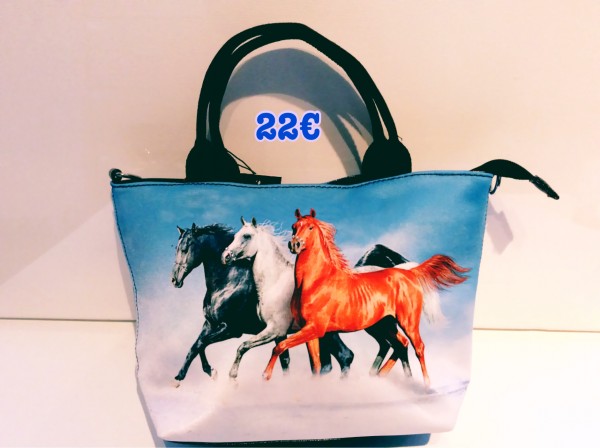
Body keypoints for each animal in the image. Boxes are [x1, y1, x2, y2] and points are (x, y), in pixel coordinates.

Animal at [171, 223, 354, 382]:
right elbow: (196, 346)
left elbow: (201, 344)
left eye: (185, 249)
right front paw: (192, 374)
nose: (174, 280)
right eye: (176, 248)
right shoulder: (210, 324)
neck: (228, 281)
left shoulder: (230, 329)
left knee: (344, 356)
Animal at [221, 218, 417, 380]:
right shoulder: (282, 333)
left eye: (246, 236)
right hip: (376, 326)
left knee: (397, 346)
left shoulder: (275, 330)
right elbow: (285, 360)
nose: (225, 256)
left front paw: (233, 377)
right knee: (393, 346)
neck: (276, 281)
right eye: (235, 235)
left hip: (382, 325)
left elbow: (243, 346)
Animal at [263, 209, 469, 386]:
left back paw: (425, 385)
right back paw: (385, 376)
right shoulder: (310, 331)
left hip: (407, 322)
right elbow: (315, 365)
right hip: (385, 324)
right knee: (401, 344)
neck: (316, 281)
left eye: (310, 227)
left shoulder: (315, 328)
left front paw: (265, 375)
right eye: (293, 226)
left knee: (418, 347)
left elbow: (280, 346)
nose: (294, 244)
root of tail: (409, 273)